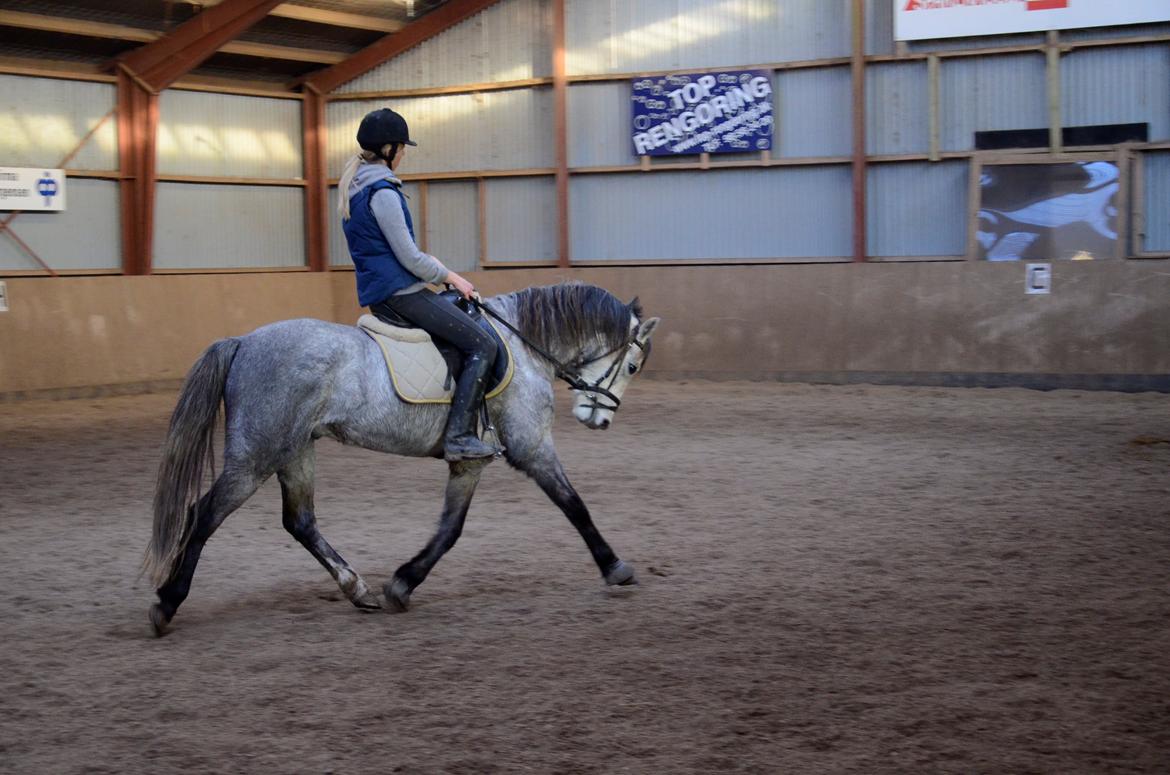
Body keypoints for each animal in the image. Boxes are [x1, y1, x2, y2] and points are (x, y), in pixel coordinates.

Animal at [144, 281, 660, 636]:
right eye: (633, 366)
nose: (600, 420)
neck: (522, 347)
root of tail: (244, 342)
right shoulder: (532, 446)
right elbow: (575, 505)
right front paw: (615, 567)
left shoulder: (469, 462)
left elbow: (450, 529)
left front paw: (401, 584)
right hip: (255, 456)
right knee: (203, 514)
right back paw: (167, 603)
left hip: (295, 450)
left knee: (300, 521)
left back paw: (358, 589)